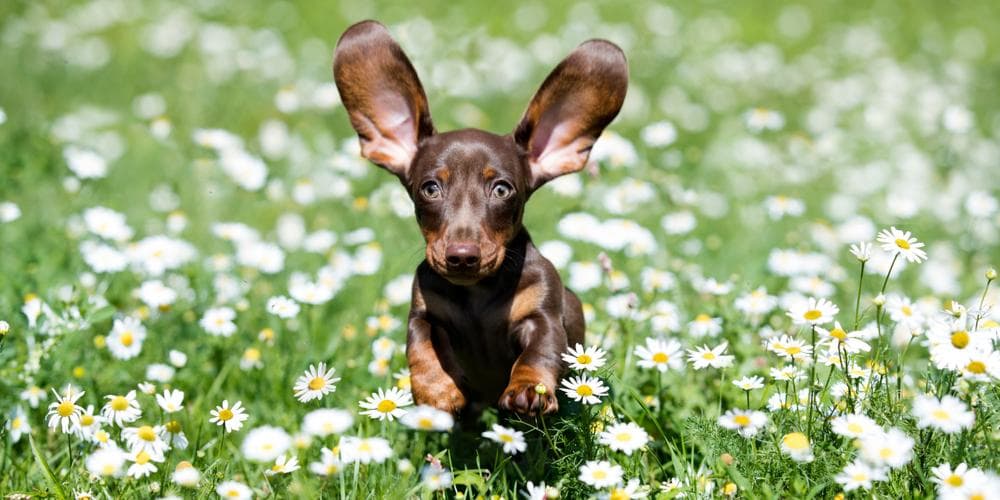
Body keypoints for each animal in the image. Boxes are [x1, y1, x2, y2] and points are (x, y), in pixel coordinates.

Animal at [334, 20, 624, 418]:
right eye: (430, 188)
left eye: (501, 189)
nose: (461, 257)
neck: (477, 293)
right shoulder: (423, 313)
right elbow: (420, 346)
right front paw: (437, 391)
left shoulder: (543, 316)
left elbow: (539, 353)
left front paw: (528, 389)